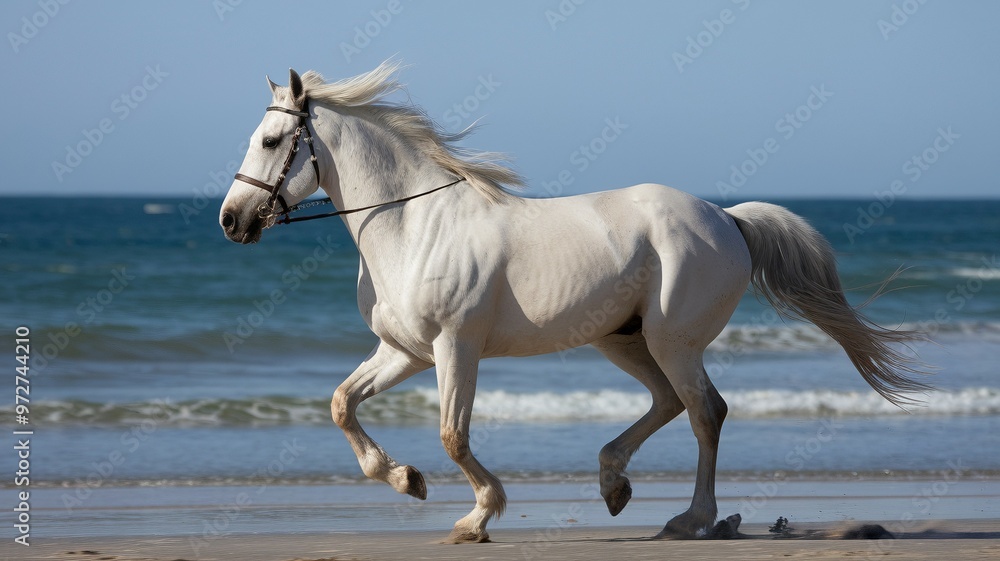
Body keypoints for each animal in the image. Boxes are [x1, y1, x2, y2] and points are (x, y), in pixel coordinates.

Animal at [219, 61, 929, 543]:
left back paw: (690, 518)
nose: (231, 221)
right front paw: (405, 480)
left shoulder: (456, 347)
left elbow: (453, 435)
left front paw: (477, 516)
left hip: (671, 340)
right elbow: (342, 404)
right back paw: (615, 484)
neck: (413, 226)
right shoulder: (405, 351)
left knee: (706, 411)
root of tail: (726, 219)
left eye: (271, 141)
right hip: (620, 338)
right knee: (671, 403)